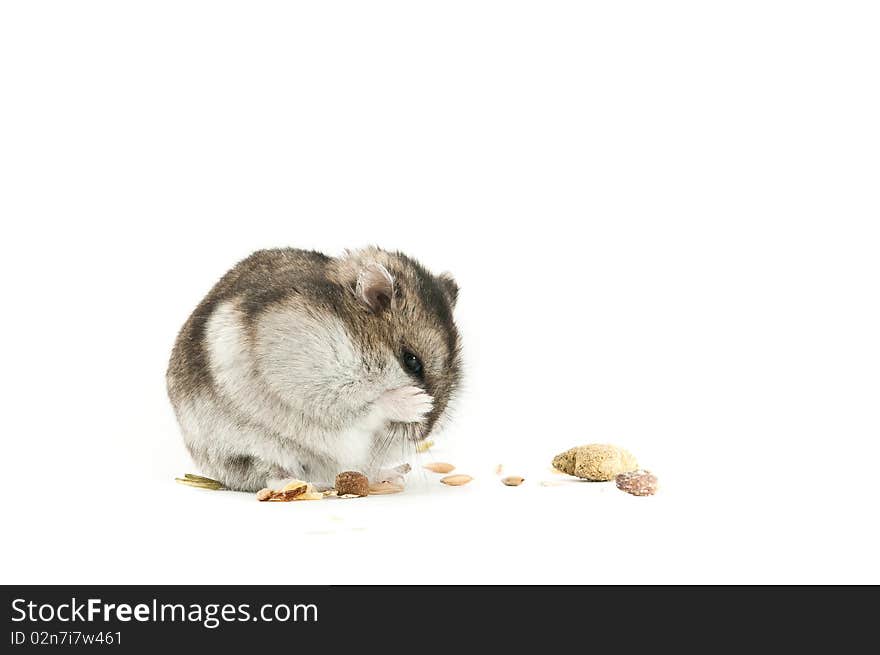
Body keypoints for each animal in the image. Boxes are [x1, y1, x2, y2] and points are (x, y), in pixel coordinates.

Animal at [168, 246, 464, 492]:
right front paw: (417, 401)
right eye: (411, 361)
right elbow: (368, 404)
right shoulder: (315, 380)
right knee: (271, 474)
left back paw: (392, 475)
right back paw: (302, 485)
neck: (357, 339)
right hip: (248, 451)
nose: (424, 433)